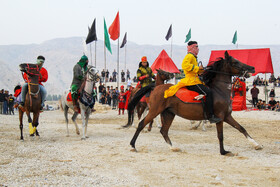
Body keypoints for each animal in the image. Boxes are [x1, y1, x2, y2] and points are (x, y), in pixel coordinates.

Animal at [127, 51, 262, 155]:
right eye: (235, 62)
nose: (252, 68)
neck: (219, 90)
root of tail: (155, 88)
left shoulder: (227, 116)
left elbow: (241, 128)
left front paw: (256, 145)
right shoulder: (220, 117)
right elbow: (221, 135)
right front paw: (223, 152)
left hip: (169, 113)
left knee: (164, 131)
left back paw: (173, 147)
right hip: (155, 110)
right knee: (141, 123)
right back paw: (132, 146)